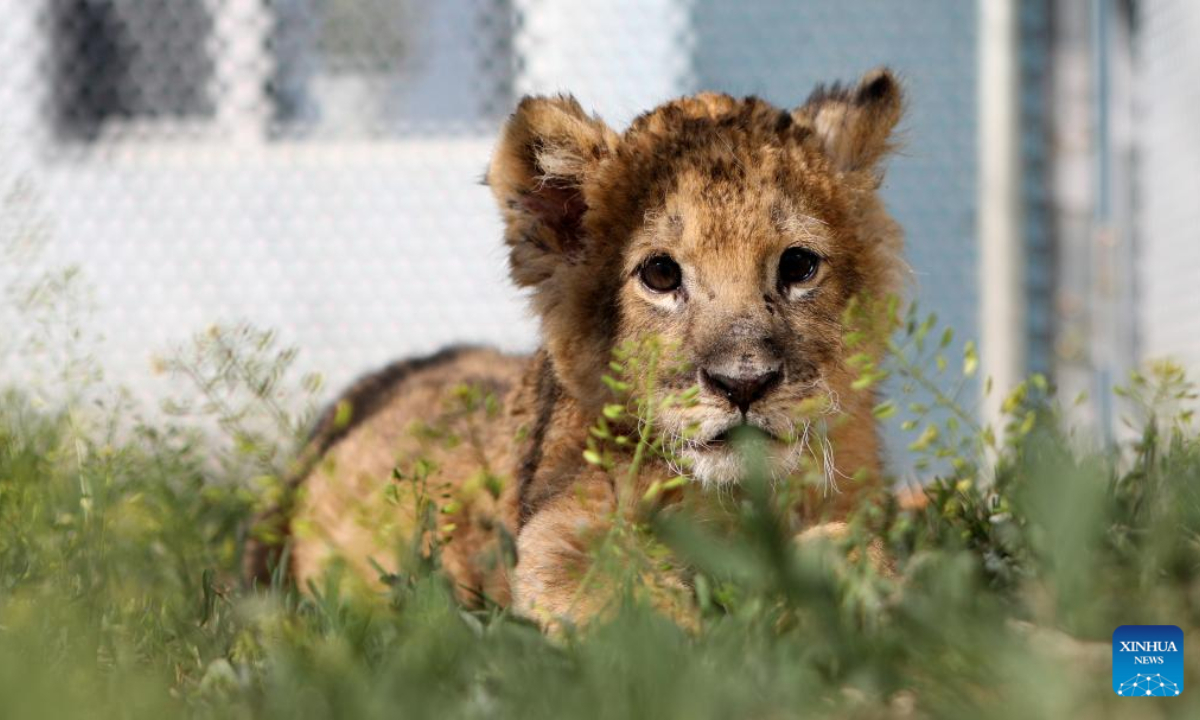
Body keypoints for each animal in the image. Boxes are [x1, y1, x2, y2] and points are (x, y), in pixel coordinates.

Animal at [244, 68, 907, 626]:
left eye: (797, 266)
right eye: (661, 274)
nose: (743, 383)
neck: (742, 497)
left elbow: (866, 550)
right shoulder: (553, 536)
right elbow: (630, 602)